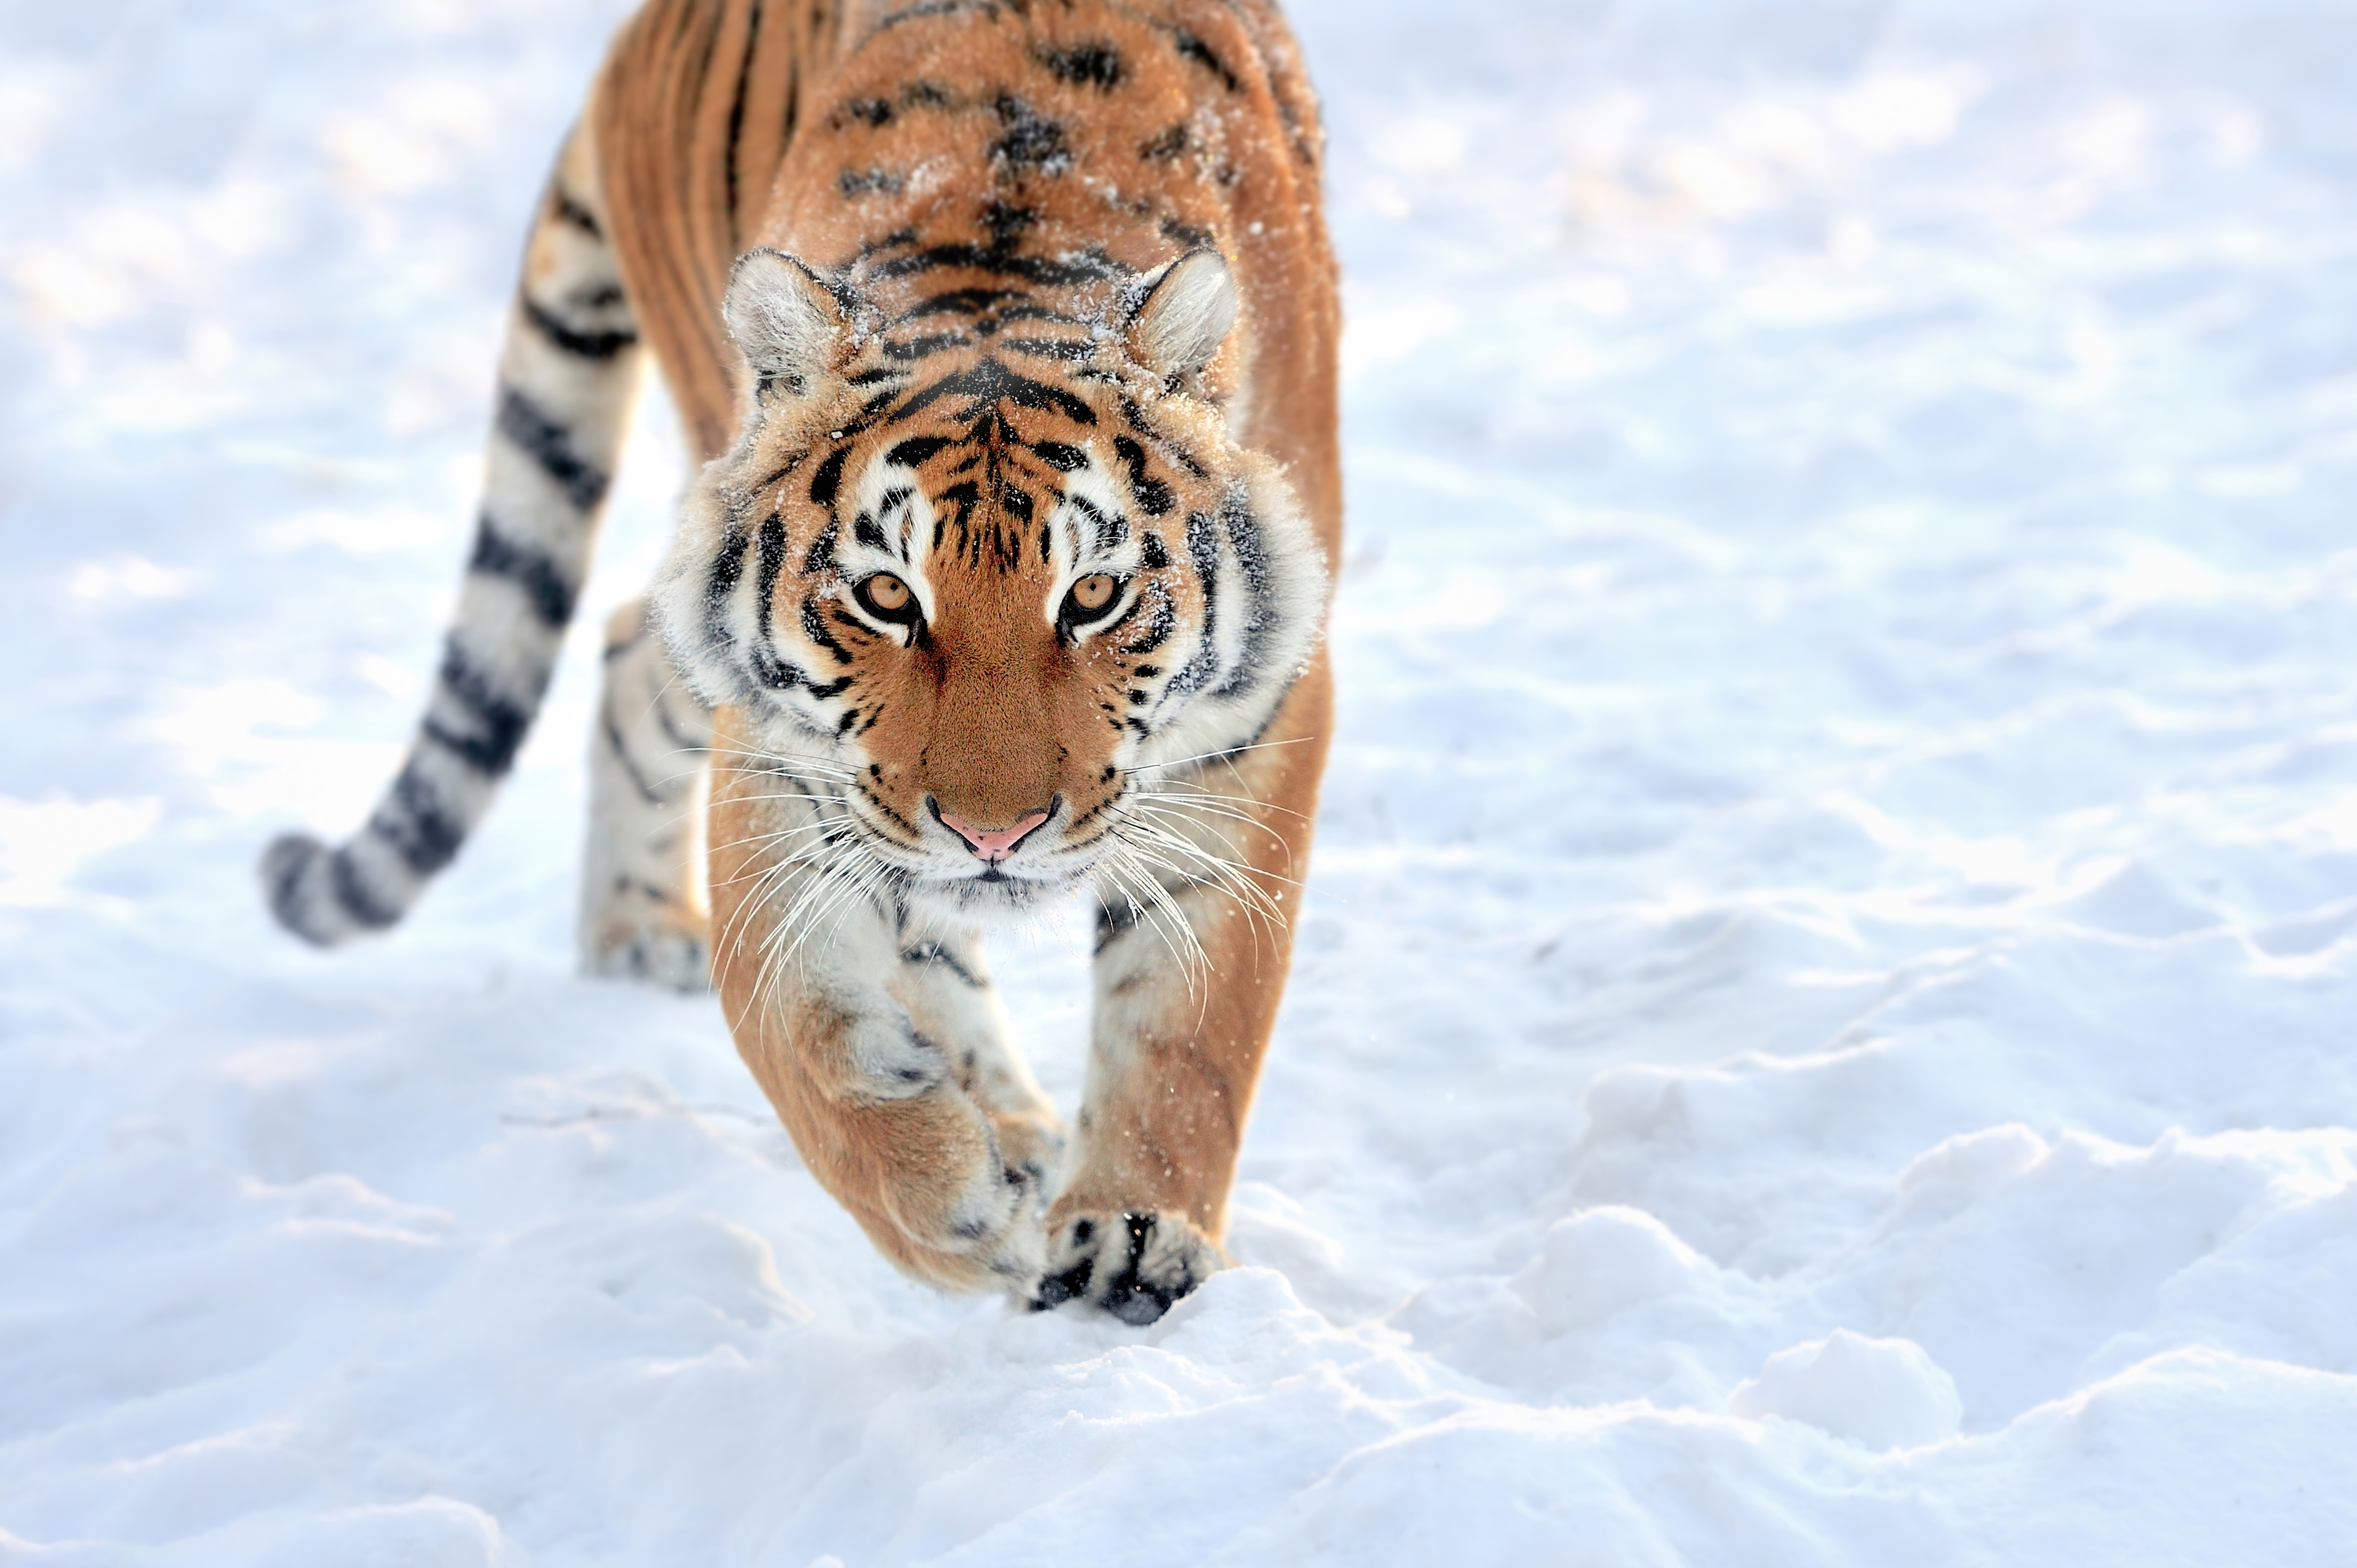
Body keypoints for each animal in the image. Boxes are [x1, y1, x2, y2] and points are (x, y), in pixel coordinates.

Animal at [260, 0, 1339, 1320]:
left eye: (1092, 595)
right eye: (885, 595)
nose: (995, 833)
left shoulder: (1264, 710)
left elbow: (1190, 1018)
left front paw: (1132, 1233)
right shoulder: (785, 750)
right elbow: (795, 1026)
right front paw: (955, 1207)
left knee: (630, 647)